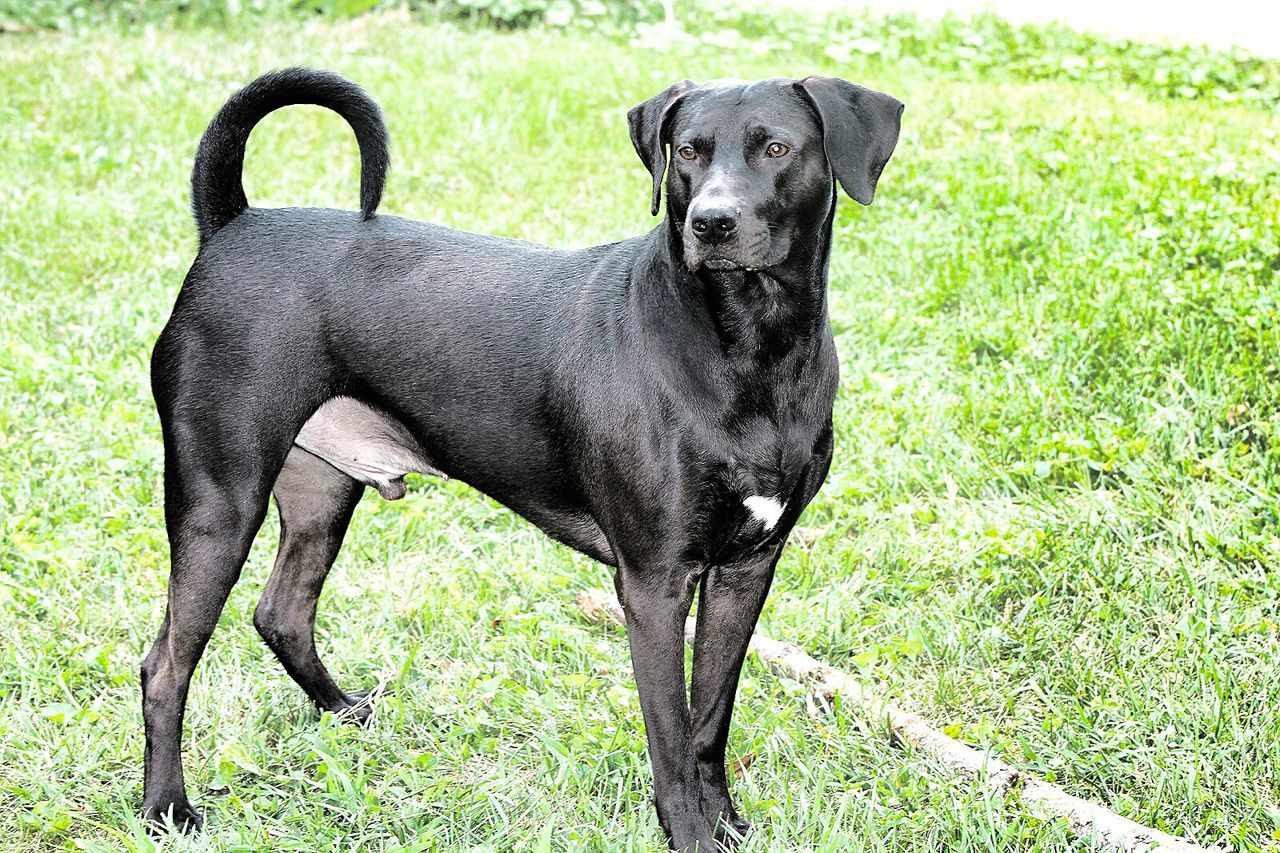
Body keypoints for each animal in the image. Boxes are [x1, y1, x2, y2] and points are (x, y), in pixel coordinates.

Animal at [142, 68, 901, 850]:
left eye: (776, 148)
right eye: (688, 151)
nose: (711, 223)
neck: (748, 348)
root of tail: (234, 224)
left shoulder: (747, 570)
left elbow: (708, 722)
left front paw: (724, 823)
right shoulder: (655, 584)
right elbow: (670, 735)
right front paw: (690, 834)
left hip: (322, 492)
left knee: (282, 613)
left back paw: (344, 711)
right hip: (220, 501)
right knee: (165, 666)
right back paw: (167, 807)